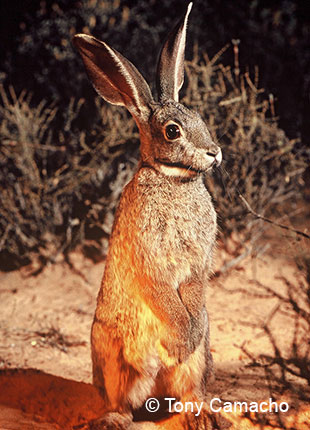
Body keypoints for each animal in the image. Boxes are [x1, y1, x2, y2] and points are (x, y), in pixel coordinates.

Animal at [74, 2, 222, 426]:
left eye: (198, 116)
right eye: (172, 131)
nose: (214, 152)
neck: (173, 179)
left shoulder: (198, 262)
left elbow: (194, 290)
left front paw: (186, 337)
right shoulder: (149, 256)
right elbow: (161, 293)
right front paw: (178, 340)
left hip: (199, 360)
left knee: (190, 390)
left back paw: (201, 415)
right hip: (114, 358)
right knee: (120, 401)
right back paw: (113, 419)